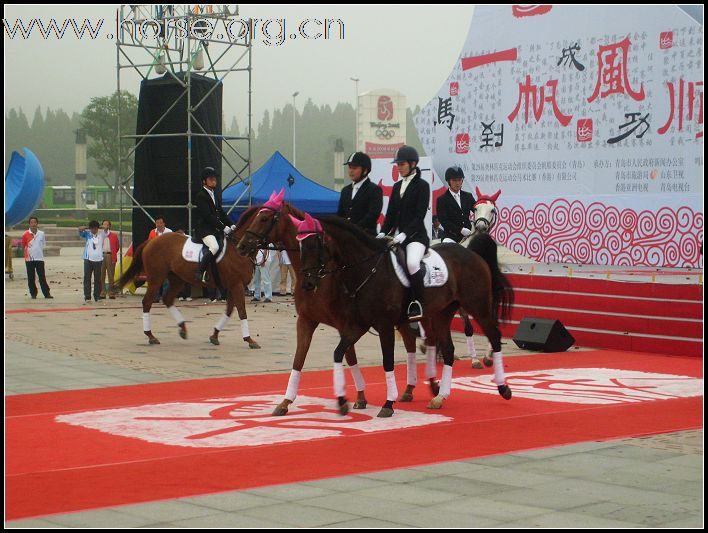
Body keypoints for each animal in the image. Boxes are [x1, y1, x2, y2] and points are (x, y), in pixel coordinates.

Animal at [116, 206, 262, 348]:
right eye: (262, 220)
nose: (244, 246)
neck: (237, 250)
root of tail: (151, 241)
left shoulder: (234, 285)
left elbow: (230, 310)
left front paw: (215, 336)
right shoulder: (236, 285)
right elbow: (241, 311)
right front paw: (249, 340)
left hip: (177, 278)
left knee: (167, 299)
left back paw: (182, 329)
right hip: (156, 278)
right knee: (147, 302)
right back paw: (151, 336)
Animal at [235, 191, 418, 416]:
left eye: (265, 218)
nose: (241, 246)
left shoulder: (345, 323)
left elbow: (349, 356)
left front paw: (355, 397)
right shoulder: (306, 320)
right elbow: (299, 358)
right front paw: (285, 401)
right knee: (411, 342)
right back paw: (410, 389)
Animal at [268, 210, 512, 414]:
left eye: (316, 245)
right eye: (301, 246)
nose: (307, 284)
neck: (367, 270)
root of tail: (471, 253)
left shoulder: (384, 325)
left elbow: (387, 362)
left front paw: (387, 403)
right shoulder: (358, 324)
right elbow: (338, 353)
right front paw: (342, 400)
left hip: (477, 306)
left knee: (494, 336)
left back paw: (503, 388)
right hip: (443, 312)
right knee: (449, 350)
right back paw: (440, 397)